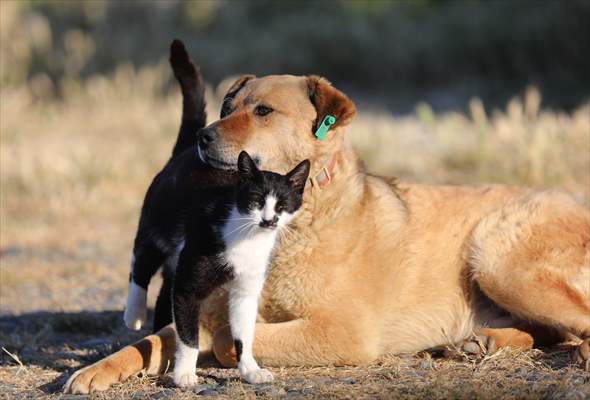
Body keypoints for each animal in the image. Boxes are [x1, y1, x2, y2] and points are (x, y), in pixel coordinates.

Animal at [171, 152, 310, 386]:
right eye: (256, 200)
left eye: (282, 204)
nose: (268, 220)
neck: (247, 237)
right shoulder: (186, 288)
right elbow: (188, 334)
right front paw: (184, 374)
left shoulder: (246, 291)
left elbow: (243, 332)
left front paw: (251, 370)